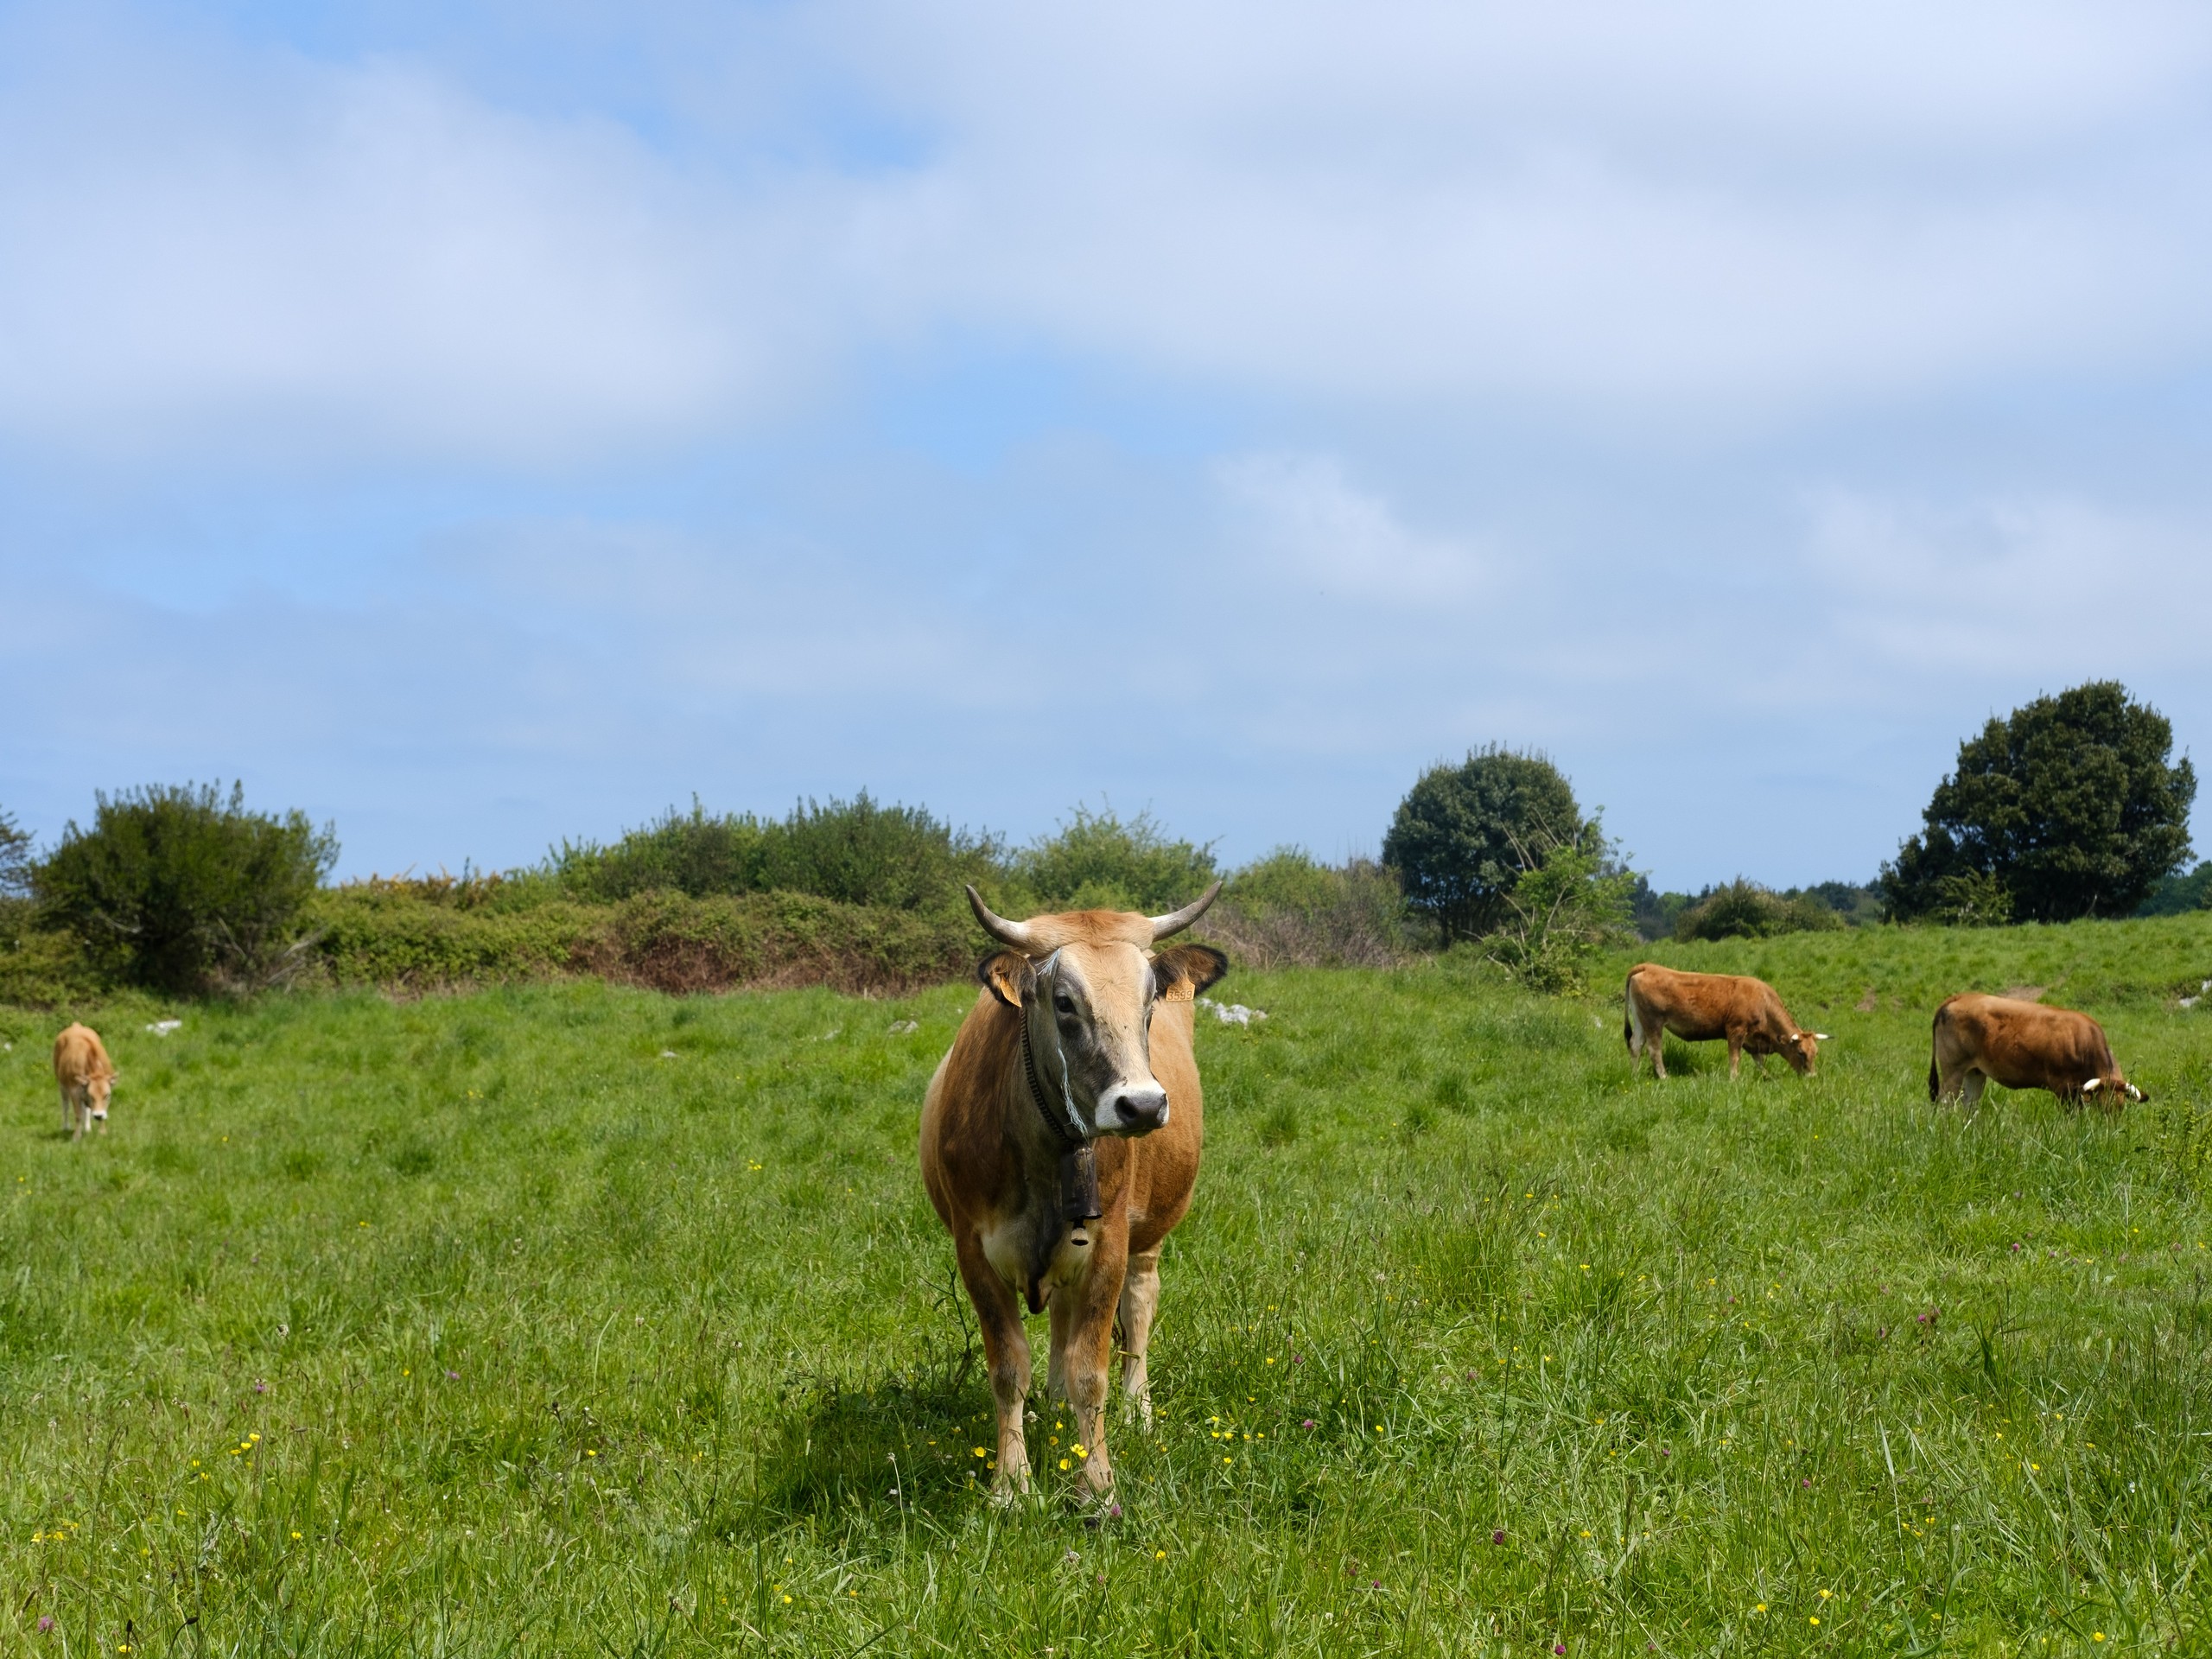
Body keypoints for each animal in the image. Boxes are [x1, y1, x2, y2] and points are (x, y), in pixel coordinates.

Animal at [53, 1026, 117, 1141]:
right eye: (91, 1096)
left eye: (107, 1095)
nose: (98, 1116)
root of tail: (76, 1025)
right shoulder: (74, 1091)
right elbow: (78, 1114)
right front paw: (76, 1137)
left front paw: (102, 1132)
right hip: (61, 1084)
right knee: (65, 1105)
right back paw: (65, 1127)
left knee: (86, 1109)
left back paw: (87, 1128)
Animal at [915, 885, 1230, 1503]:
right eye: (1063, 1002)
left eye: (1151, 999)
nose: (1142, 1105)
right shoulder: (973, 1250)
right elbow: (1008, 1368)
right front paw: (1012, 1484)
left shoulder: (1108, 1247)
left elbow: (1092, 1367)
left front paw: (1098, 1484)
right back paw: (1054, 1403)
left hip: (1147, 1237)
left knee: (1140, 1309)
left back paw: (1137, 1408)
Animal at [1618, 969, 1822, 1084]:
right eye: (1800, 1053)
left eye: (1815, 1053)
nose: (1812, 1077)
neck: (1763, 1003)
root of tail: (1646, 967)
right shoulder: (1736, 1030)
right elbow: (1735, 1058)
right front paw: (1734, 1079)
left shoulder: (1752, 1040)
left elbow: (1759, 1061)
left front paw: (1767, 1076)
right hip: (1653, 1023)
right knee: (1654, 1050)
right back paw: (1664, 1077)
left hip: (1641, 1022)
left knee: (1635, 1046)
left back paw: (1635, 1075)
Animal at [1920, 995, 2141, 1110]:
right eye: (2102, 1107)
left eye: (2120, 1109)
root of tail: (1961, 997)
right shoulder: (2064, 1088)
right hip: (1953, 1070)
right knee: (1946, 1104)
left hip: (1975, 1072)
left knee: (1969, 1105)